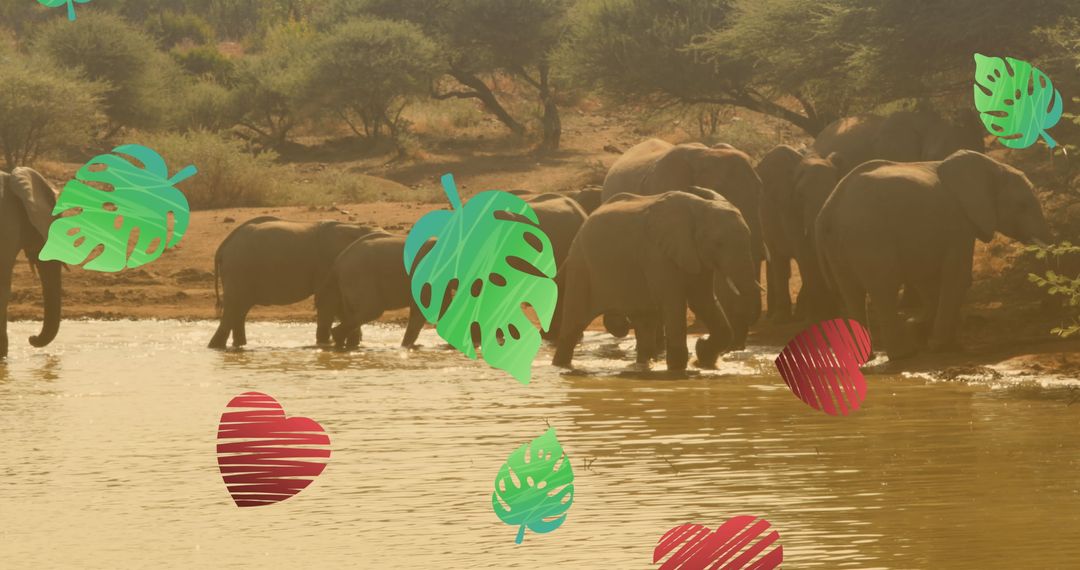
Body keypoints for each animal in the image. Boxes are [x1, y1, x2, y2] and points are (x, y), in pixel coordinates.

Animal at [208, 217, 379, 348]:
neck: (355, 227)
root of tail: (223, 246)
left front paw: (353, 344)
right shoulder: (327, 265)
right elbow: (328, 302)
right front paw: (326, 345)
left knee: (239, 312)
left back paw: (239, 345)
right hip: (238, 271)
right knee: (233, 310)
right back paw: (217, 347)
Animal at [553, 190, 760, 372]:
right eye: (718, 243)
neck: (699, 207)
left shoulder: (695, 255)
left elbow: (704, 300)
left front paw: (702, 356)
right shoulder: (657, 254)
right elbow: (674, 301)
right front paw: (678, 369)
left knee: (644, 325)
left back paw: (642, 366)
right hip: (582, 267)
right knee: (574, 323)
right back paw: (561, 367)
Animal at [757, 145, 844, 322]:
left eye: (833, 188)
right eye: (801, 195)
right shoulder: (788, 207)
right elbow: (805, 254)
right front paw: (817, 318)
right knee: (778, 261)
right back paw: (779, 319)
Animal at [815, 150, 1052, 360]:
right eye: (1022, 205)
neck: (992, 166)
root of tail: (828, 210)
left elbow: (928, 280)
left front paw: (921, 330)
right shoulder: (958, 222)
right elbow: (957, 276)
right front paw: (941, 346)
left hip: (840, 244)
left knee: (852, 293)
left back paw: (867, 357)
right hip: (869, 238)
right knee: (883, 290)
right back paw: (904, 355)